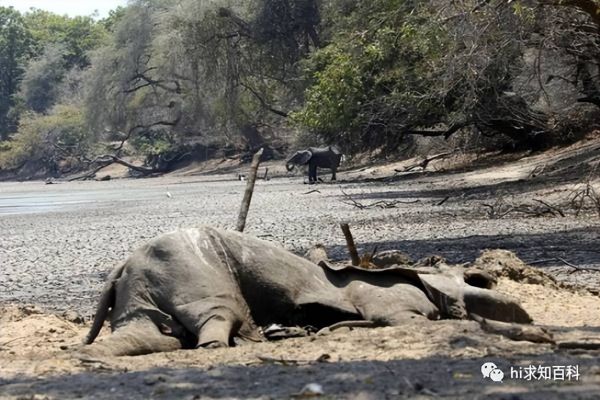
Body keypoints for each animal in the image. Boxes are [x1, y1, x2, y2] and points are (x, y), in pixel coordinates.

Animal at [81, 226, 535, 357]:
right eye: (474, 280)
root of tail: (125, 265)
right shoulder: (392, 299)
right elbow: (404, 319)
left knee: (156, 334)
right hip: (196, 270)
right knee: (216, 317)